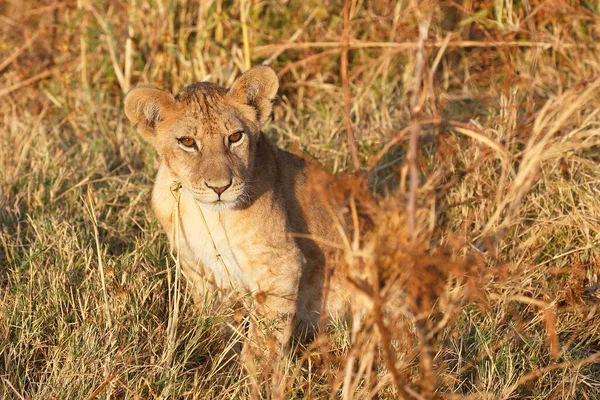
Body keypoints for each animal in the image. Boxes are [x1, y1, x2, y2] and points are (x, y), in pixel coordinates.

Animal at [124, 65, 344, 346]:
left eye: (235, 137)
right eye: (187, 142)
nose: (219, 187)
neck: (203, 213)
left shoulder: (282, 265)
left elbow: (264, 338)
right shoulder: (198, 267)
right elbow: (217, 321)